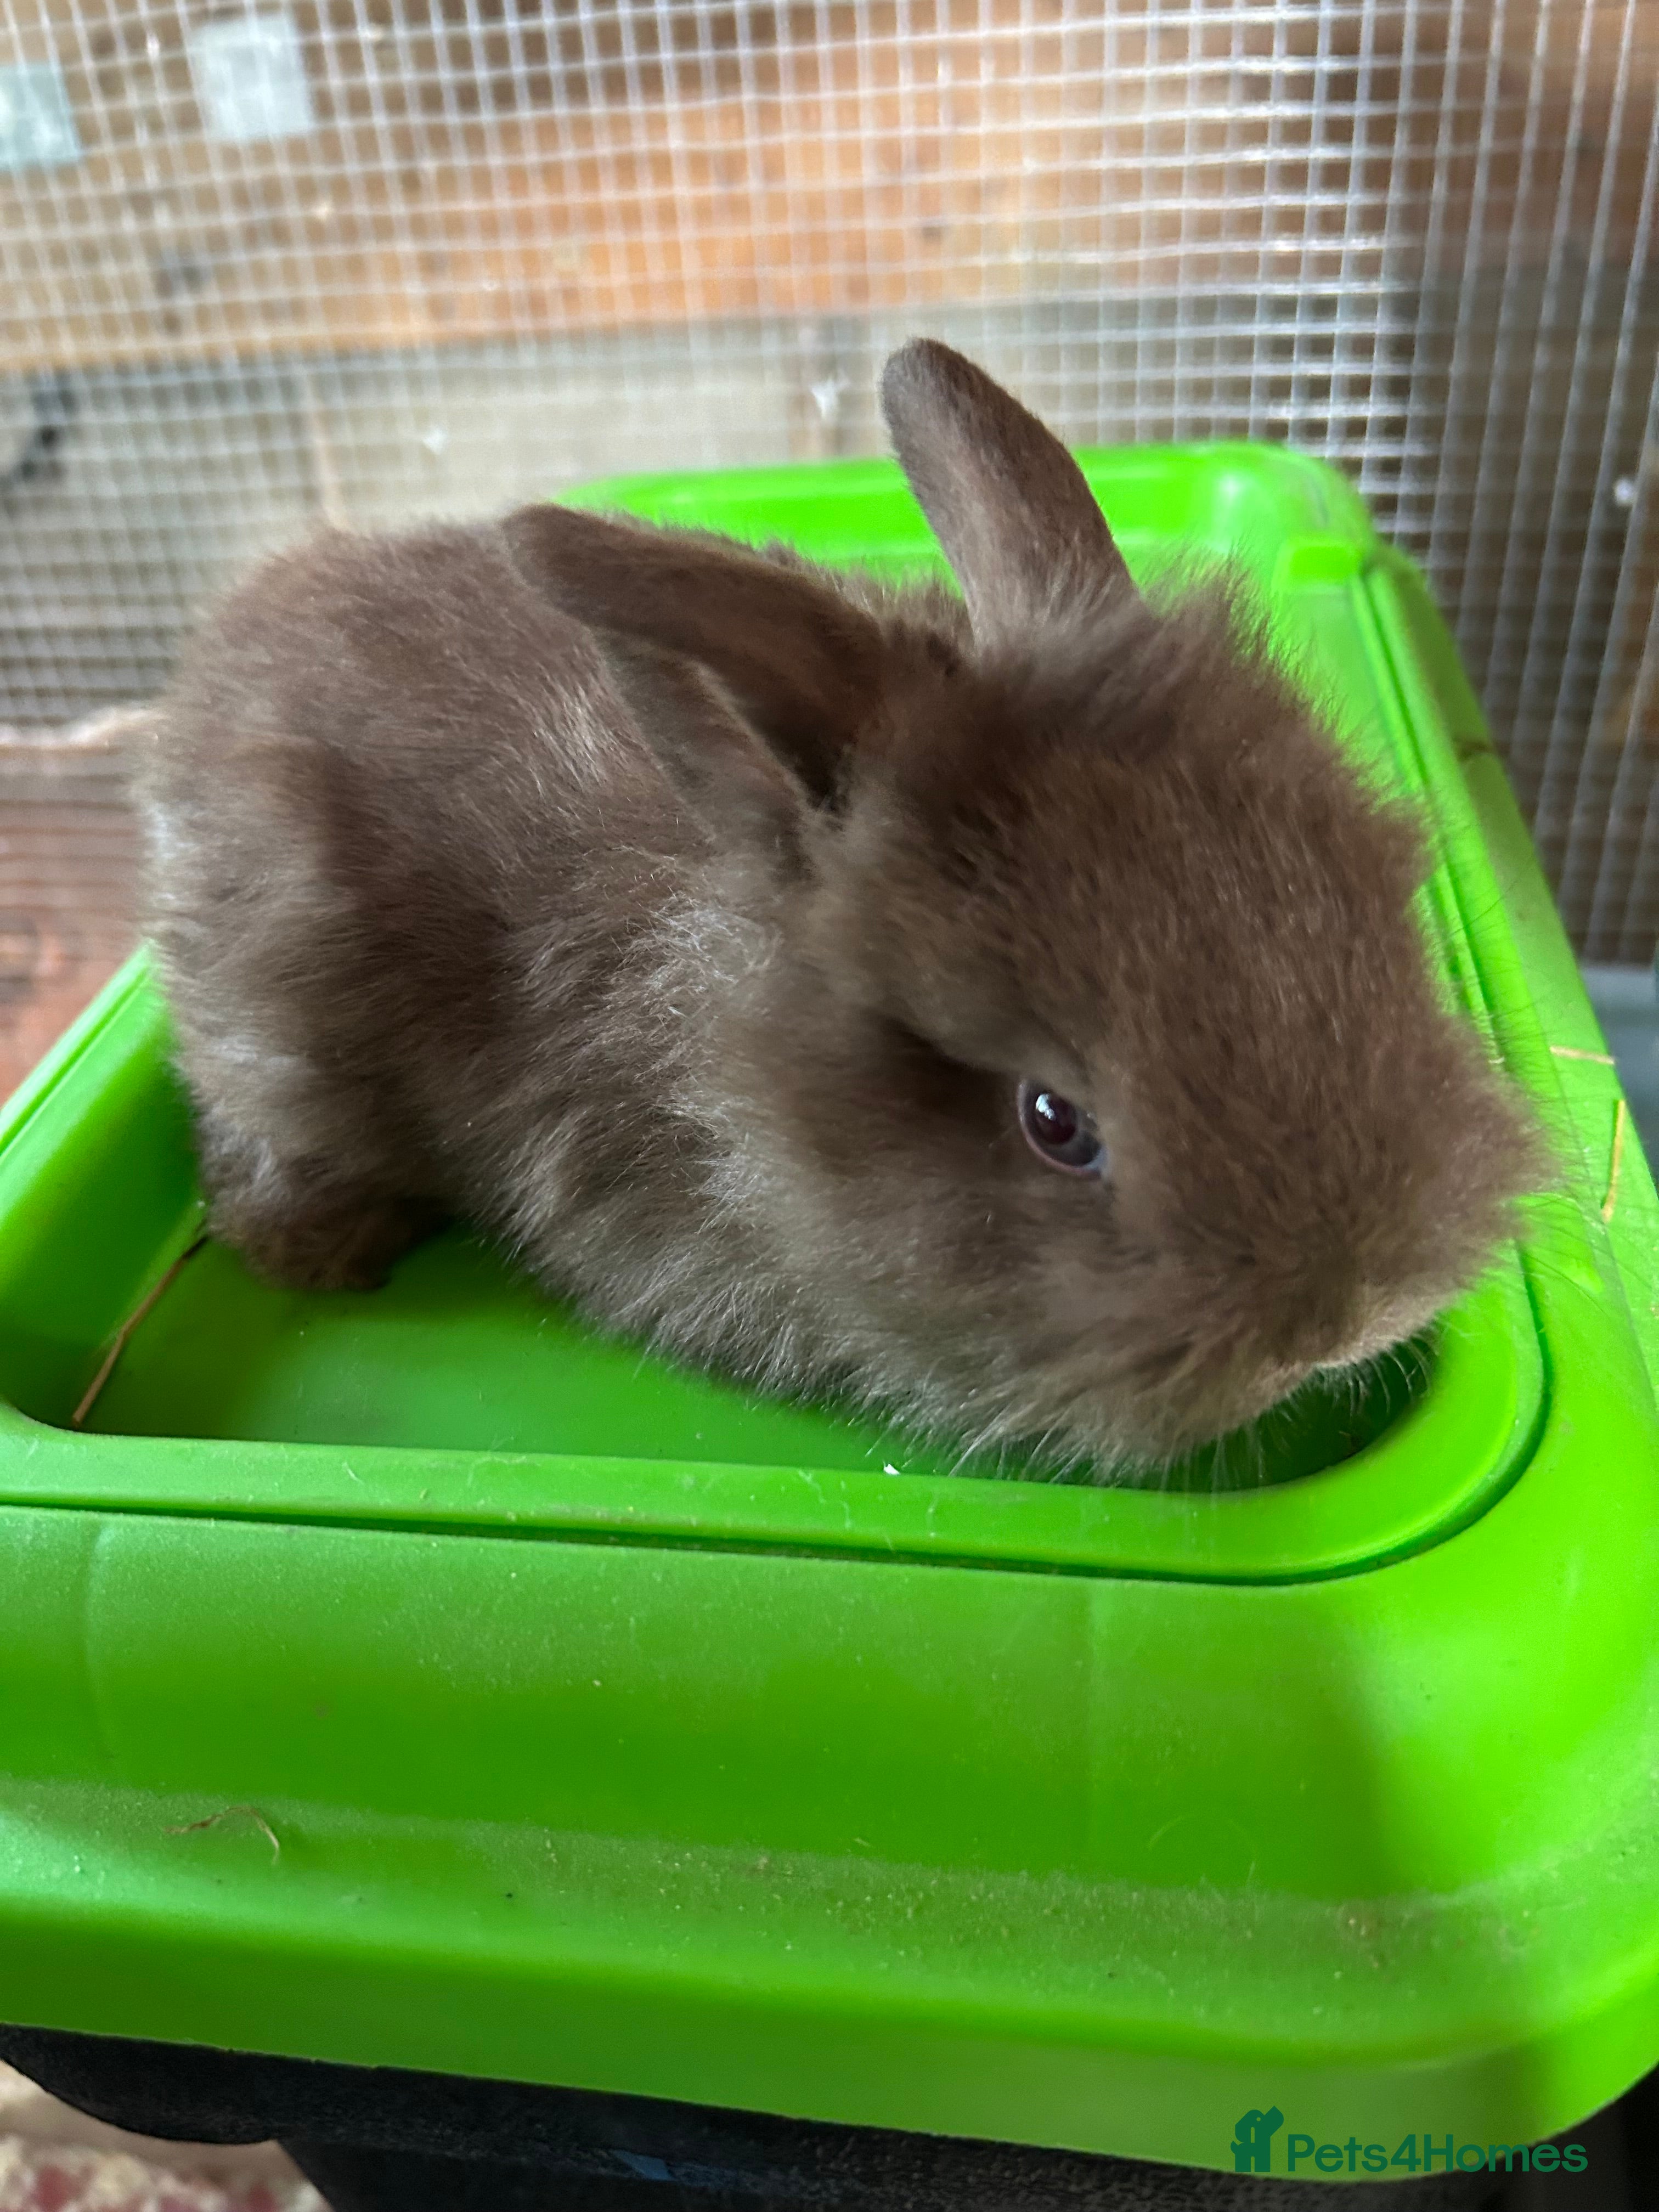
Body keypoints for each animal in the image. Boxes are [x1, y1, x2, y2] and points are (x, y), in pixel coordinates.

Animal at [139, 339, 1544, 1474]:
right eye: (1054, 1124)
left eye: (1383, 917)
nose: (1352, 1321)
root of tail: (208, 668)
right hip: (280, 1033)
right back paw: (329, 1250)